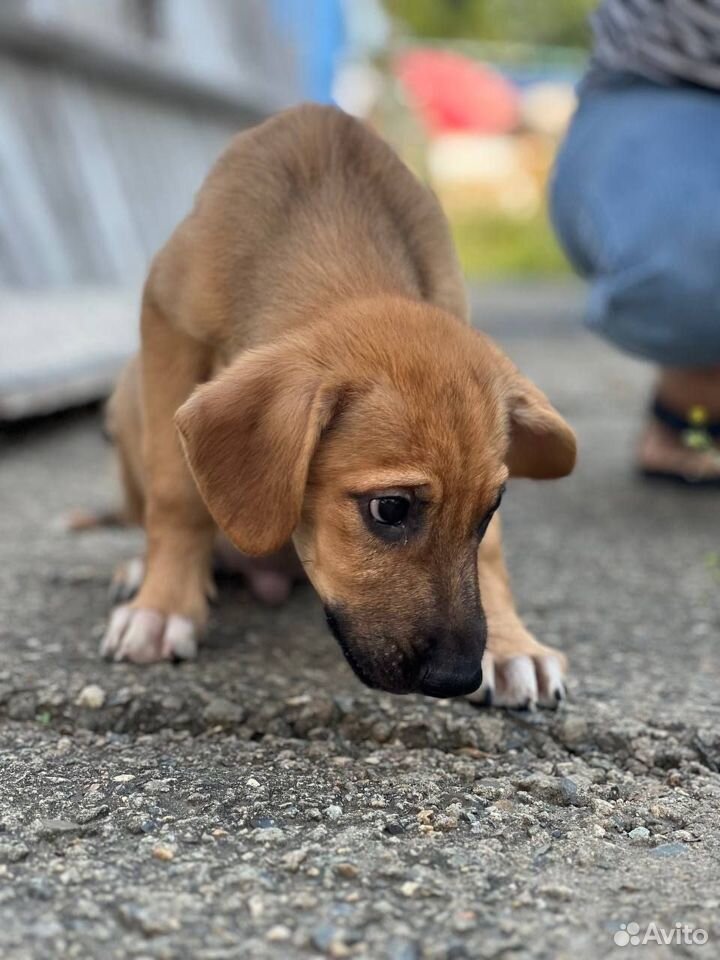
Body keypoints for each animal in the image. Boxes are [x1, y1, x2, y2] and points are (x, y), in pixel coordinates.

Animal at [101, 105, 576, 708]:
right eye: (390, 509)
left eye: (491, 507)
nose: (456, 678)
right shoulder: (167, 320)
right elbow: (176, 493)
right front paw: (163, 608)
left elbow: (490, 552)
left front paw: (513, 645)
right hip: (127, 393)